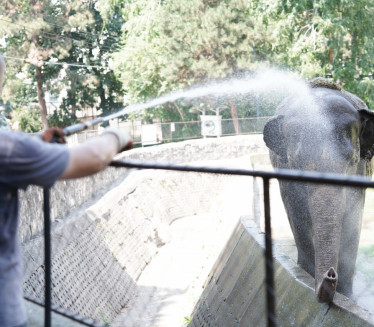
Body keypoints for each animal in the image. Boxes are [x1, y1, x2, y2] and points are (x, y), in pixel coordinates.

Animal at [262, 77, 374, 304]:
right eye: (296, 161)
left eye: (353, 160)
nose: (330, 274)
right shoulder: (285, 174)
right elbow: (296, 214)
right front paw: (306, 274)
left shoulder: (360, 172)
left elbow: (353, 218)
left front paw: (347, 297)